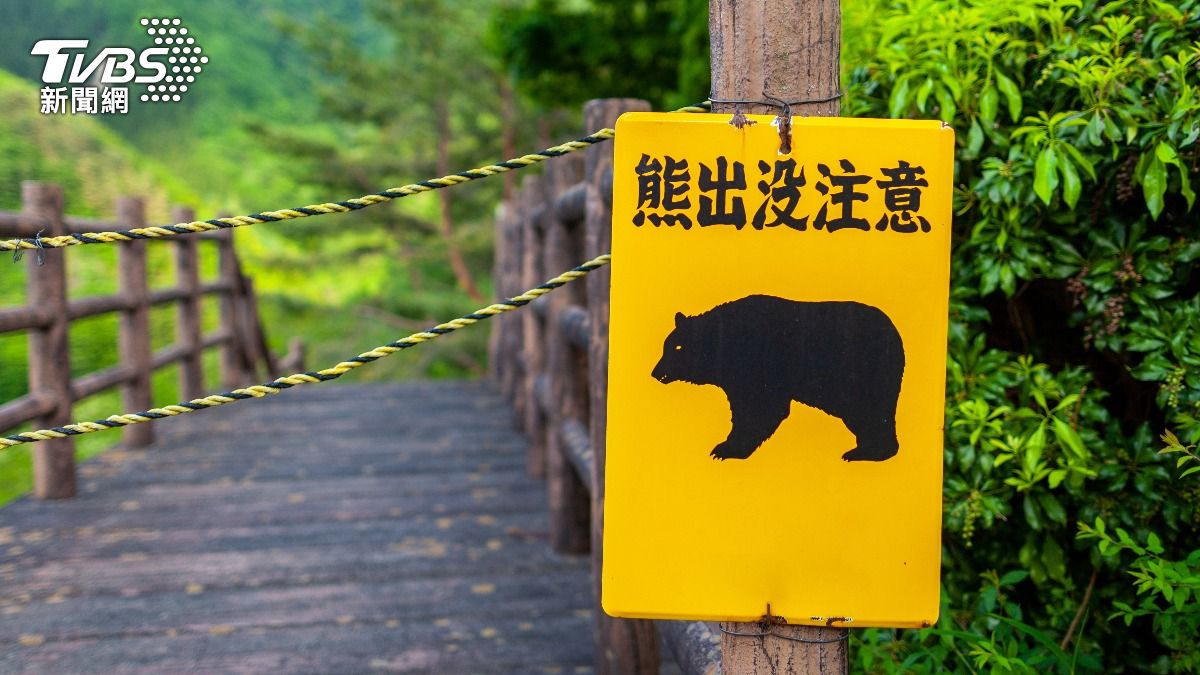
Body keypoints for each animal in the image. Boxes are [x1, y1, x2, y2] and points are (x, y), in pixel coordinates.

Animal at [650, 295, 905, 462]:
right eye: (666, 346)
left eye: (677, 347)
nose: (655, 372)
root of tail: (895, 332)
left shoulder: (758, 367)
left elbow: (761, 408)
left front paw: (726, 448)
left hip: (862, 375)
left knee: (871, 412)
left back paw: (867, 453)